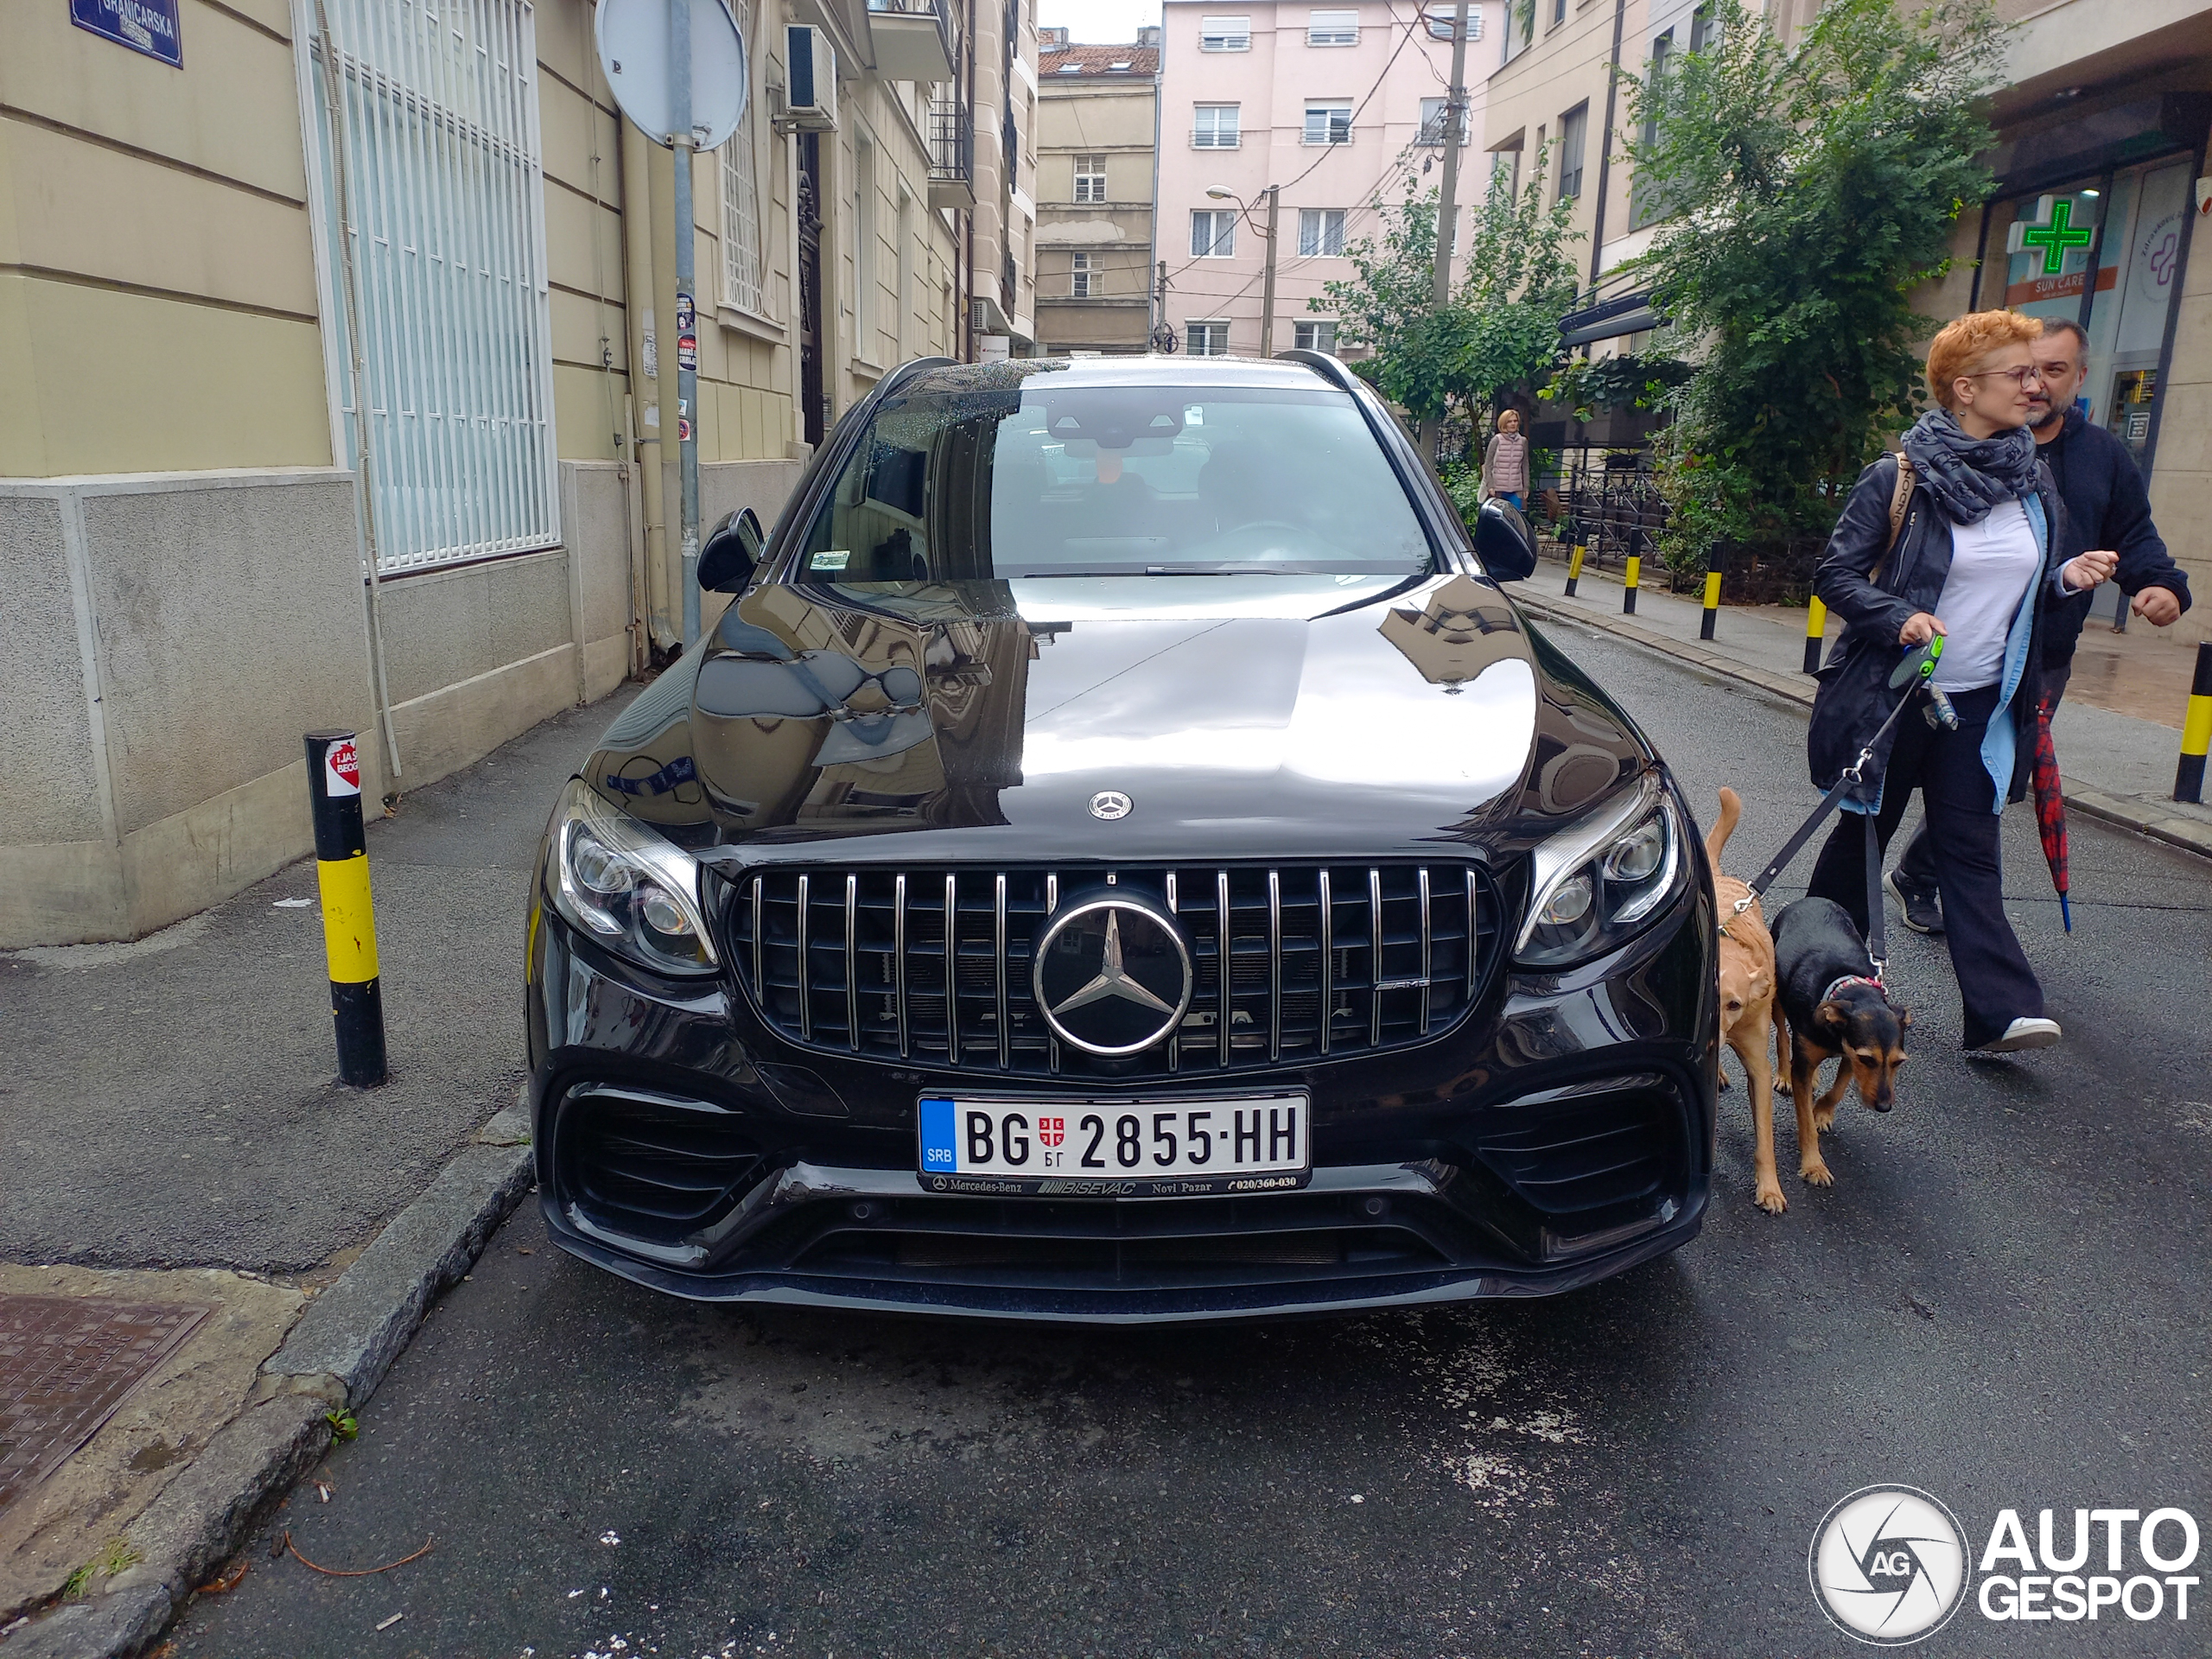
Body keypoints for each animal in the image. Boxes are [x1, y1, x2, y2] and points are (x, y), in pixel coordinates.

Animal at [1760, 898, 1902, 1194]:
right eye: (1869, 1060)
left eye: (1898, 1062)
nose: (1884, 1107)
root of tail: (1809, 899)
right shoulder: (1813, 1062)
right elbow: (1804, 1119)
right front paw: (1814, 1165)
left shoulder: (1849, 1053)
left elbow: (1837, 1090)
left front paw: (1822, 1112)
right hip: (1776, 996)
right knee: (1782, 1036)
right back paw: (1783, 1075)